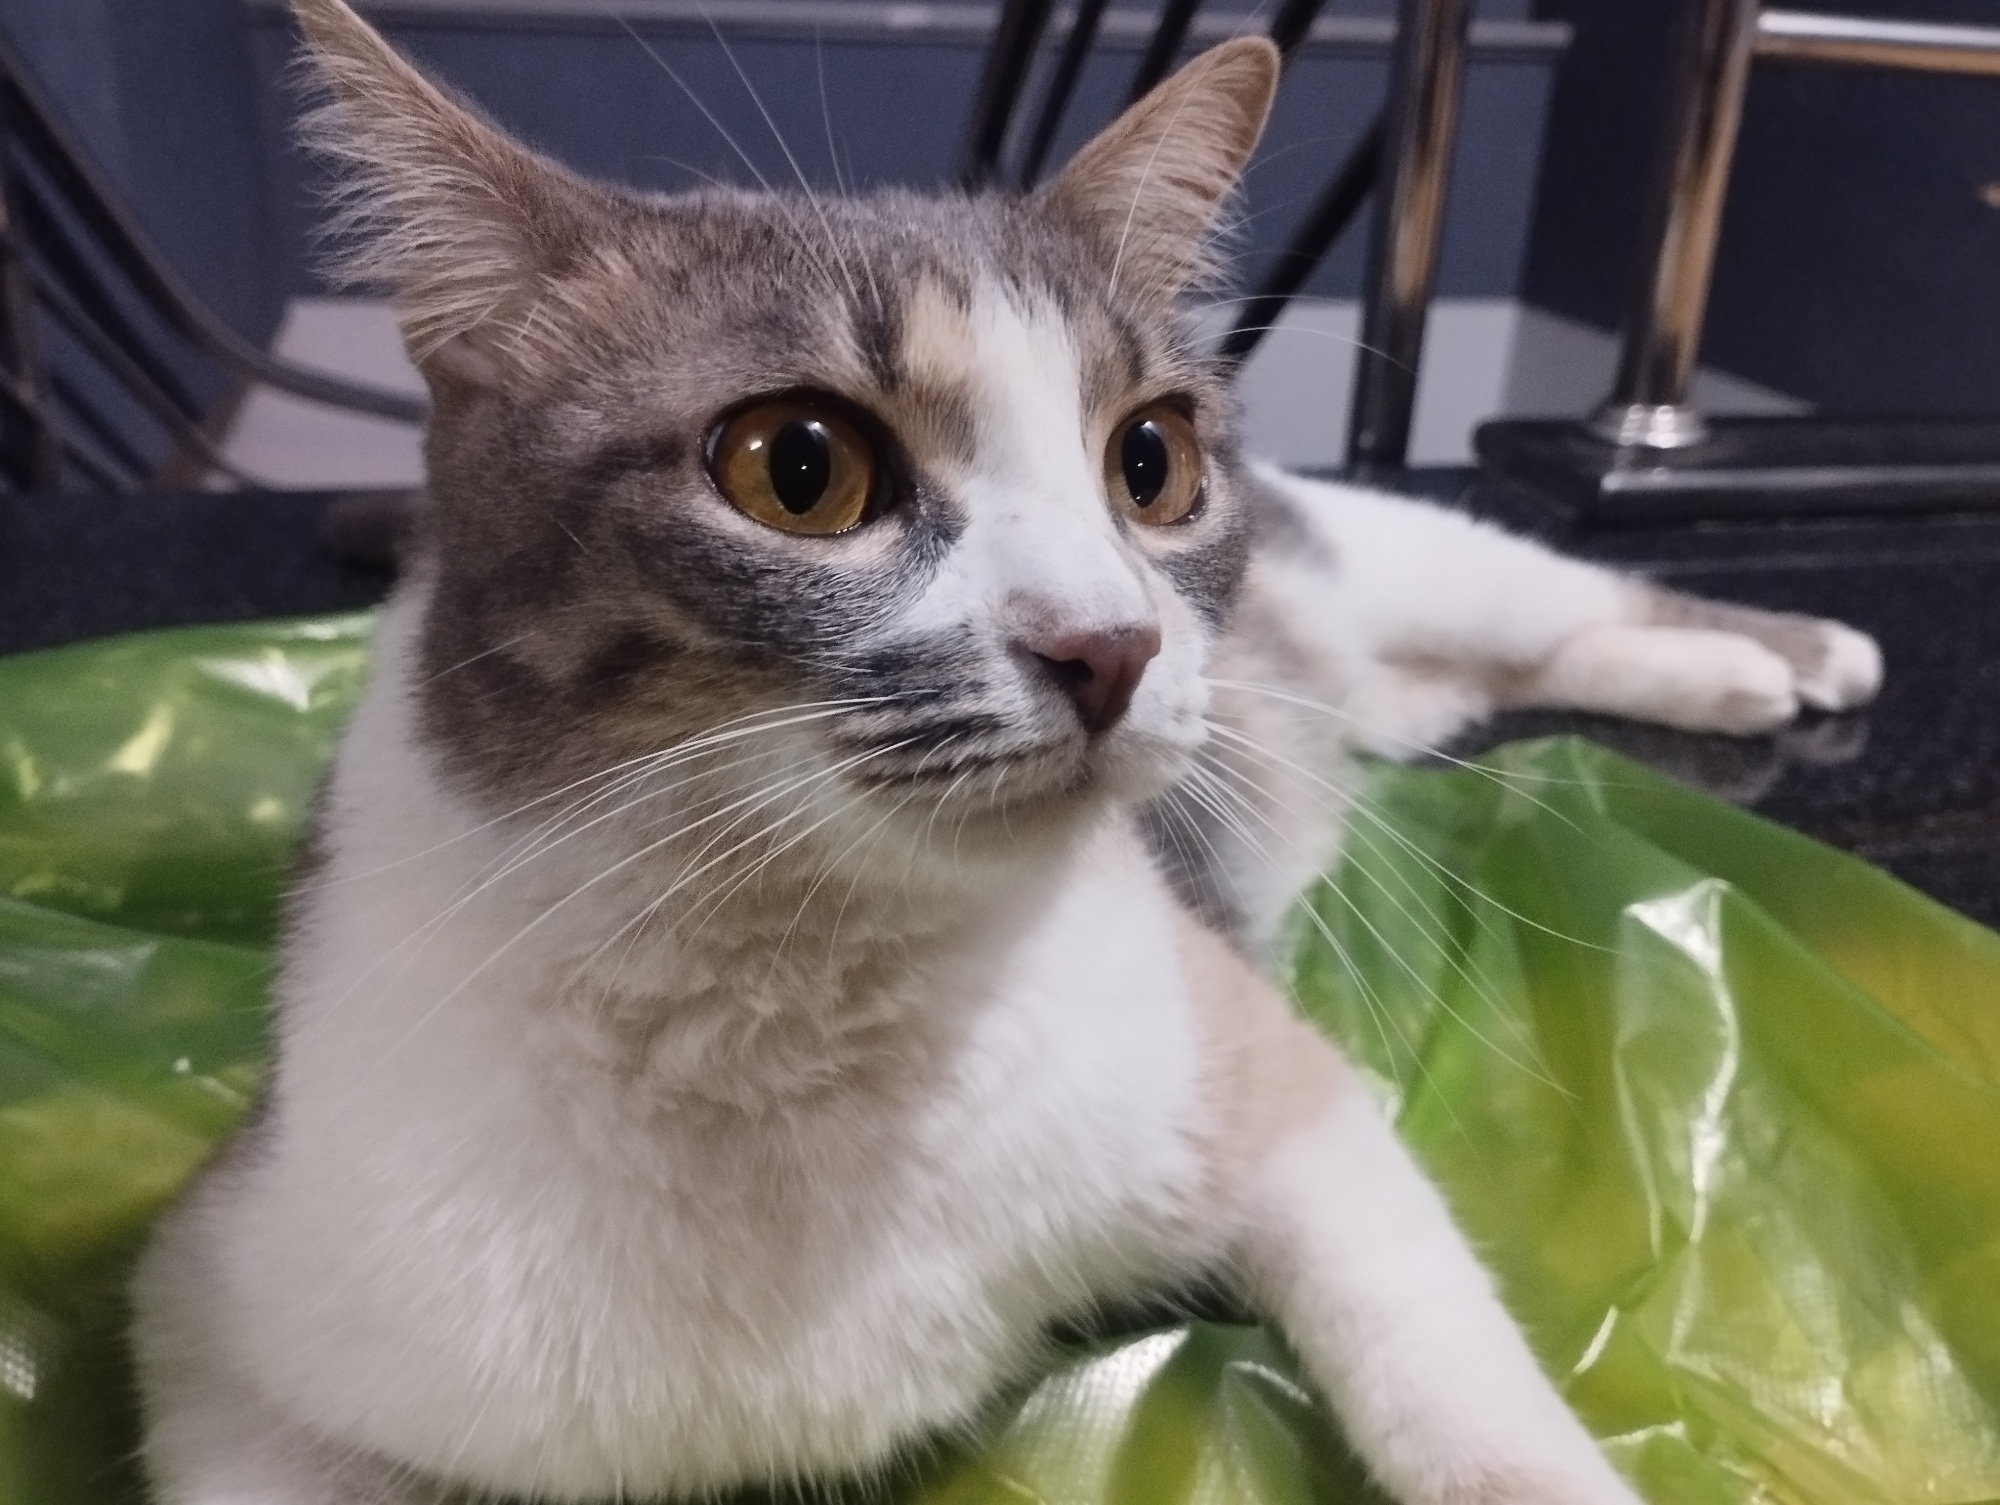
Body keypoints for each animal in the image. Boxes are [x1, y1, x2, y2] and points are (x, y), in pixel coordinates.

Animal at [128, 3, 1882, 1502]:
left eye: (1152, 461)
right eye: (800, 467)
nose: (1115, 642)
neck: (803, 999)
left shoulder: (1263, 1084)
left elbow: (1442, 1359)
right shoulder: (223, 1314)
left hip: (1401, 558)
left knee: (1555, 597)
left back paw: (1772, 653)